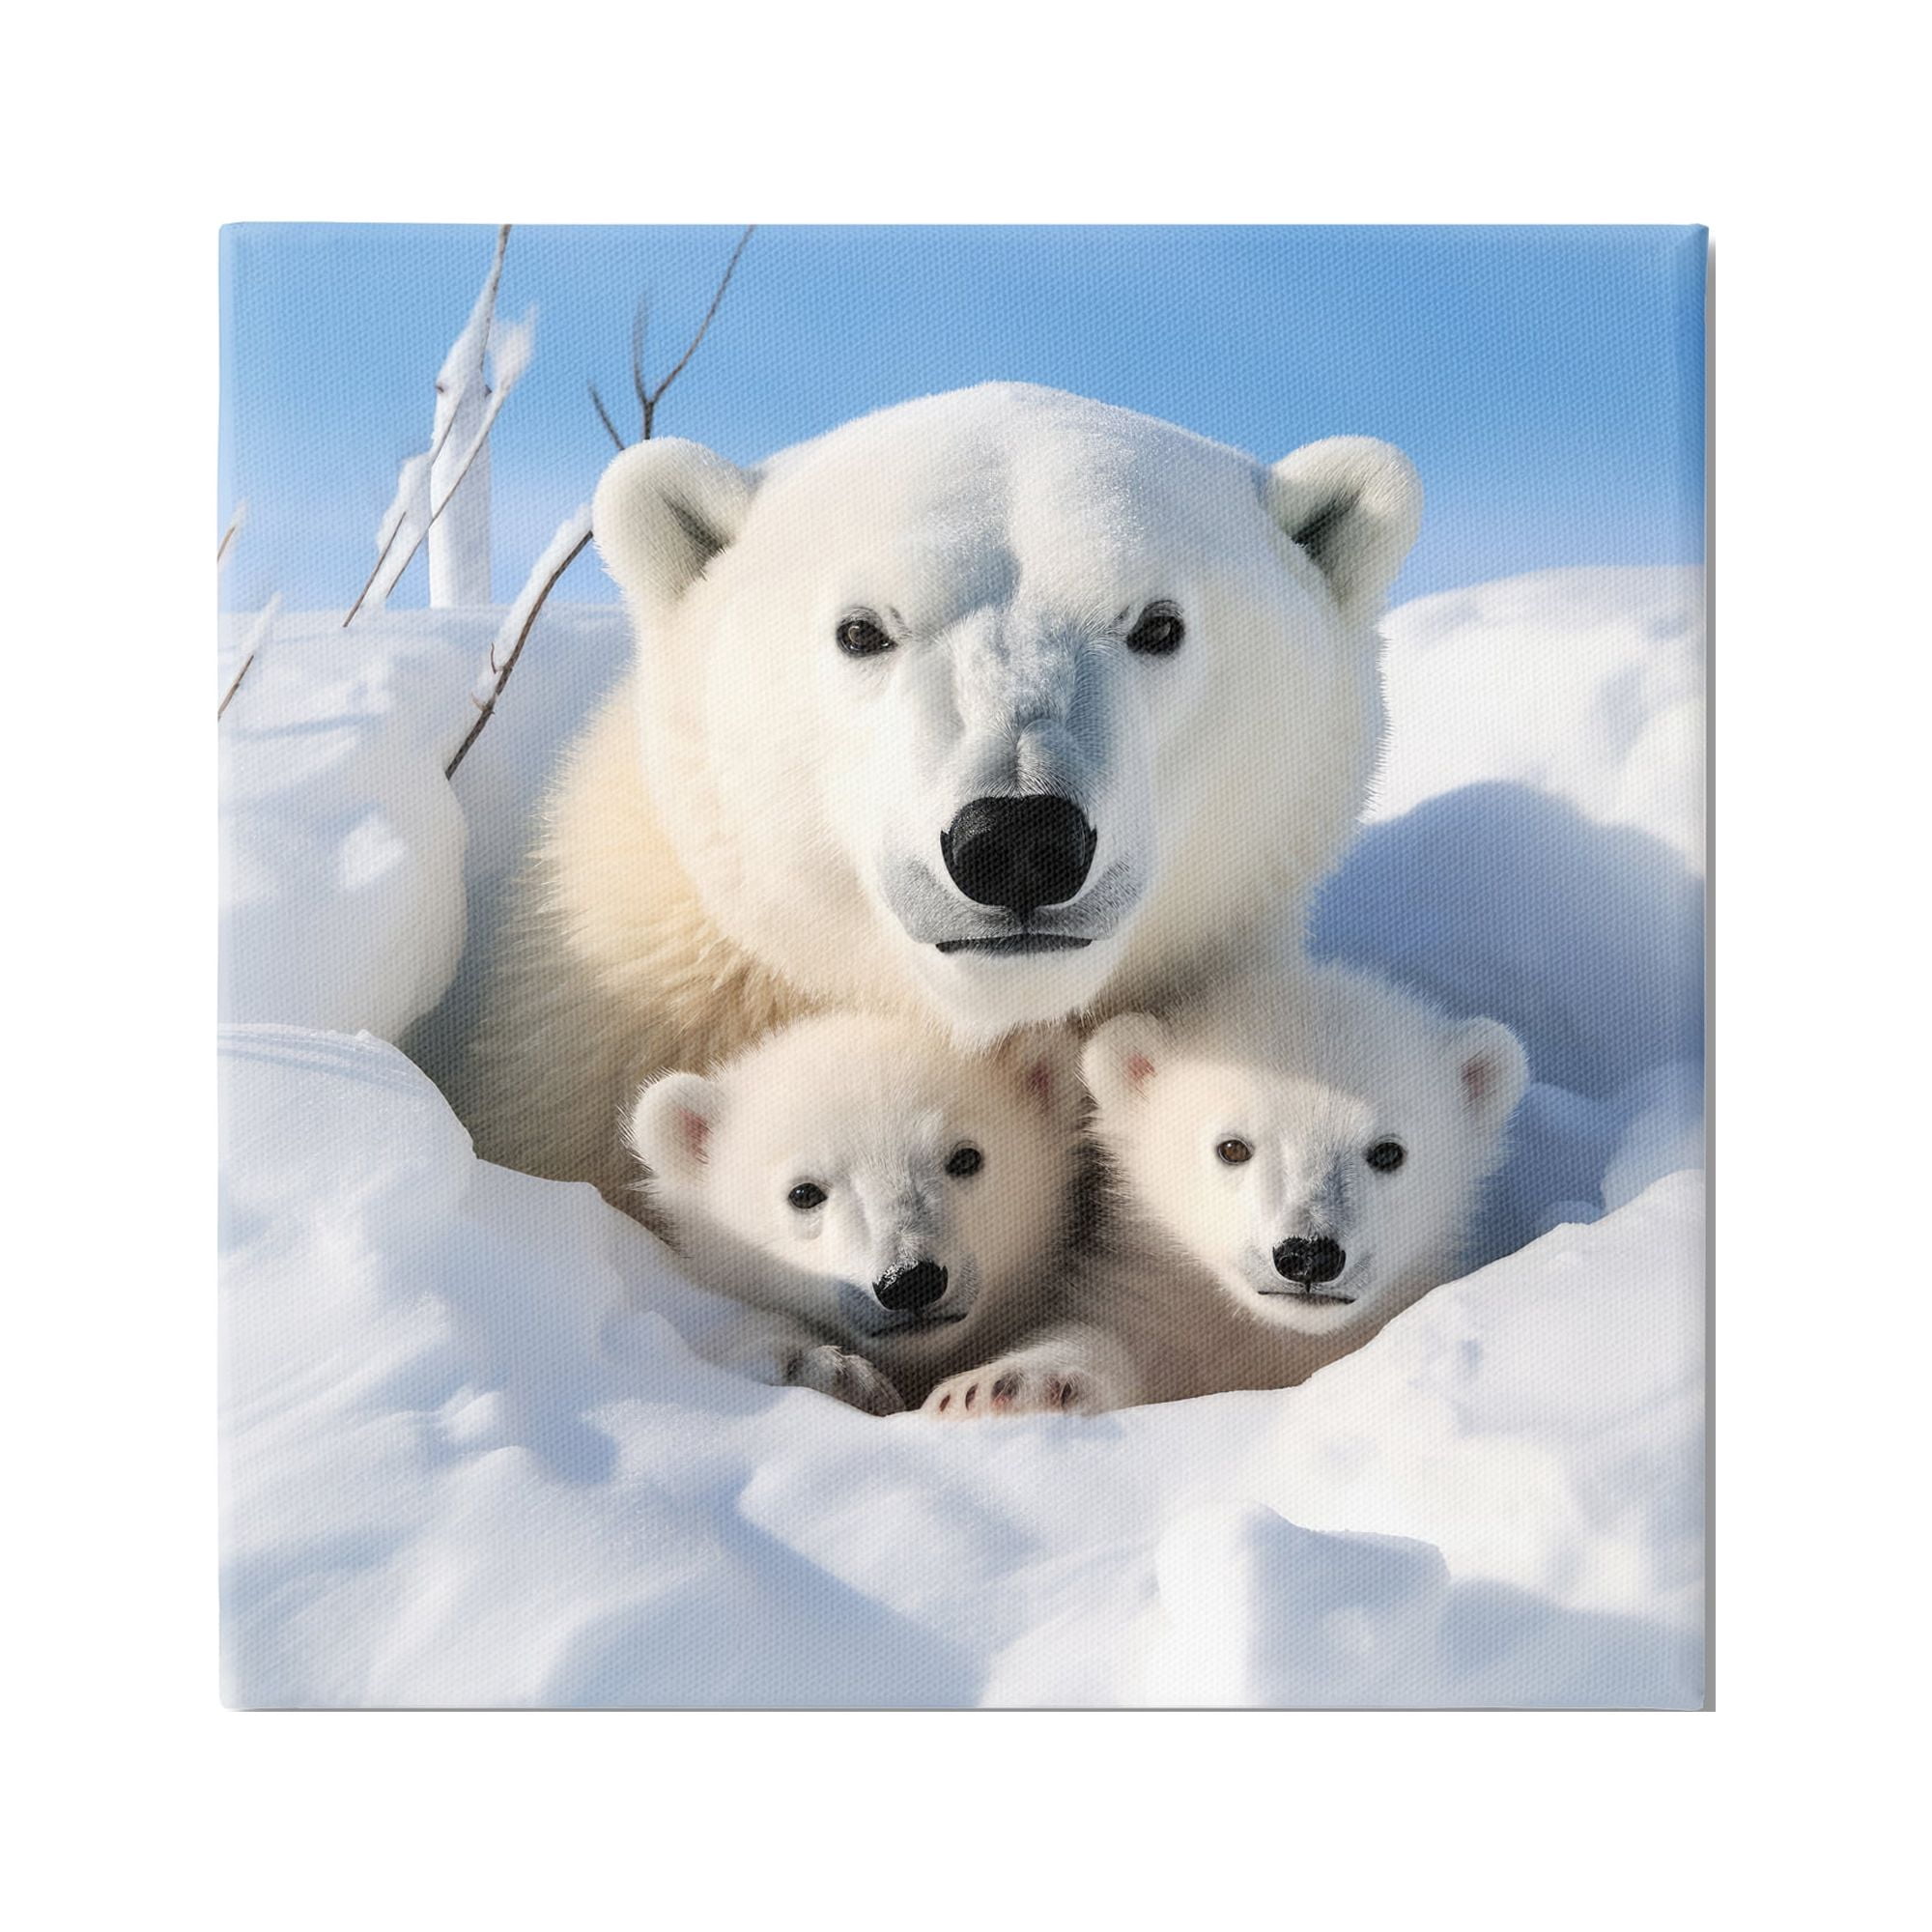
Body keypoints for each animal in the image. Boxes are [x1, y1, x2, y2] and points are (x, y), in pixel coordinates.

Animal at [923, 962, 1528, 1416]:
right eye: (1233, 1147)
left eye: (1388, 1152)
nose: (1308, 1255)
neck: (1272, 1344)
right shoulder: (1166, 1319)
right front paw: (1001, 1386)